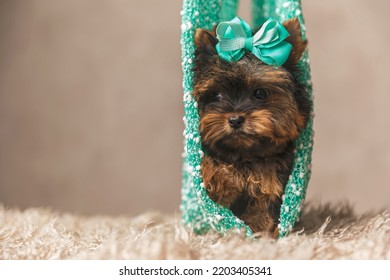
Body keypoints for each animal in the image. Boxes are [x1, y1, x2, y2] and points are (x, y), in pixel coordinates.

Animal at [192, 17, 310, 236]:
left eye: (260, 93)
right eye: (217, 95)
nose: (235, 119)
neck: (245, 155)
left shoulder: (269, 185)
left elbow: (260, 214)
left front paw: (260, 234)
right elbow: (214, 172)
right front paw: (216, 174)